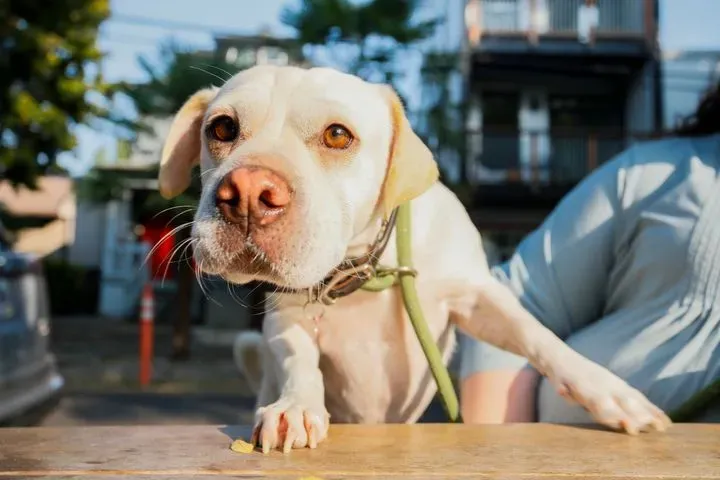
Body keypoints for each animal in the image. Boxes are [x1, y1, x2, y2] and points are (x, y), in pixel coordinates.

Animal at [158, 65, 668, 452]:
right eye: (222, 128)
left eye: (338, 135)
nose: (246, 193)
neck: (365, 268)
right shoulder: (284, 321)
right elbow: (300, 362)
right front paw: (296, 406)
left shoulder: (477, 298)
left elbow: (539, 338)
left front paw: (610, 392)